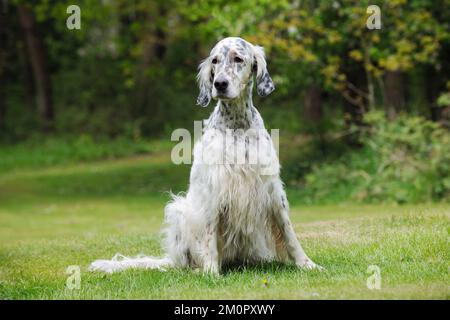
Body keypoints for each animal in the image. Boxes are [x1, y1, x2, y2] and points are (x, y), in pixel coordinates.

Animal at [89, 37, 320, 272]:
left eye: (238, 59)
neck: (238, 125)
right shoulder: (214, 188)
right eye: (215, 61)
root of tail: (172, 260)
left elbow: (288, 231)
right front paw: (211, 271)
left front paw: (306, 263)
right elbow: (210, 233)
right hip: (179, 210)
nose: (220, 84)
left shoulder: (271, 188)